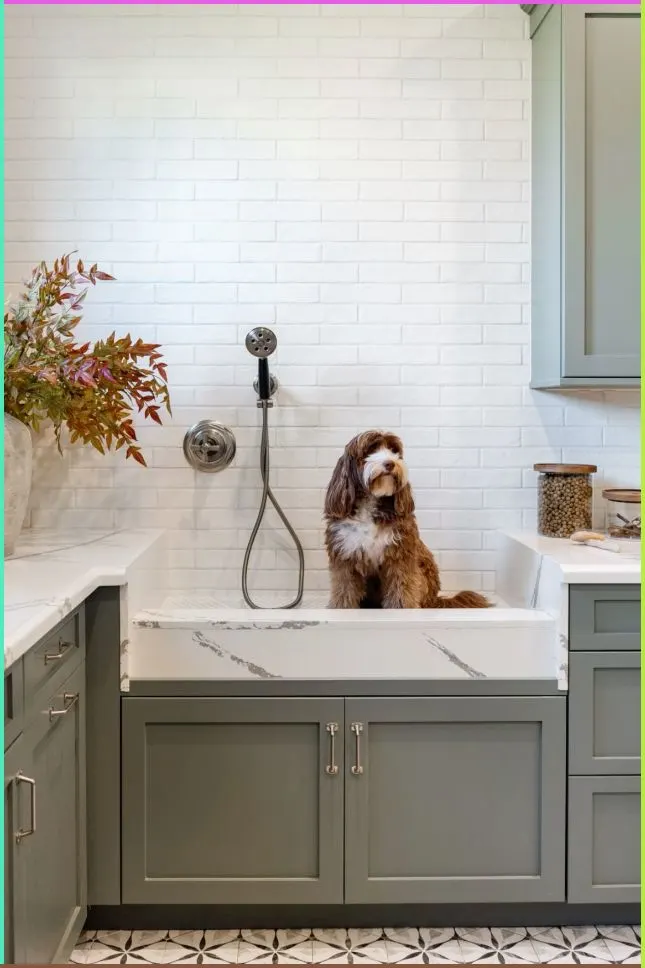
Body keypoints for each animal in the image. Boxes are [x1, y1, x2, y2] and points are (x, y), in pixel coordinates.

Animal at [324, 432, 490, 608]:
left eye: (393, 450)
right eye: (371, 449)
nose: (390, 463)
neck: (371, 503)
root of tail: (435, 599)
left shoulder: (400, 554)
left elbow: (402, 587)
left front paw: (401, 609)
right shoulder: (344, 556)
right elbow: (344, 588)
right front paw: (342, 608)